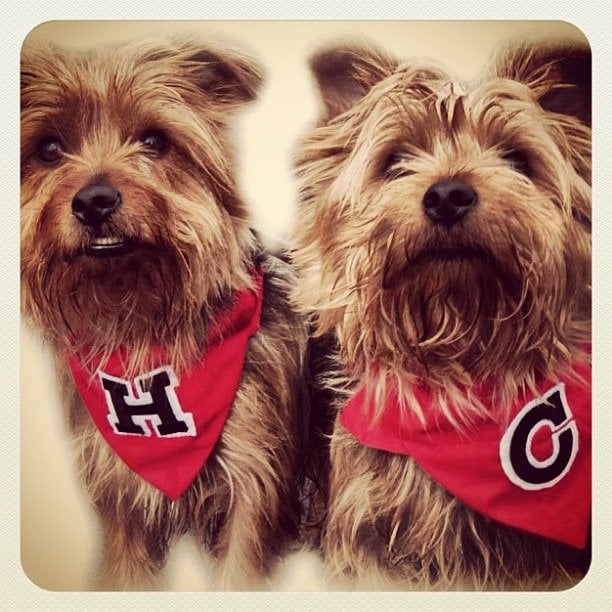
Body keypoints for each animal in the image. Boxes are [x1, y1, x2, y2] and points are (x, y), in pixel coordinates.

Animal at [20, 35, 308, 592]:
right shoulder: (123, 499)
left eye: (155, 141)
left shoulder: (252, 485)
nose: (94, 201)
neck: (142, 324)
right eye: (48, 148)